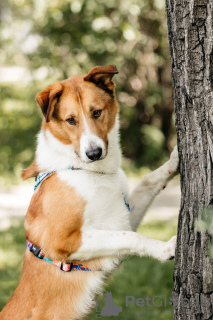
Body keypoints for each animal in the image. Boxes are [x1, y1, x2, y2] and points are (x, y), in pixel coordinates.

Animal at [0, 65, 179, 320]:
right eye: (70, 120)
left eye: (96, 113)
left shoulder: (121, 214)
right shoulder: (64, 242)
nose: (94, 153)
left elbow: (147, 181)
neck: (85, 170)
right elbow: (131, 237)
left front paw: (175, 159)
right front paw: (165, 248)